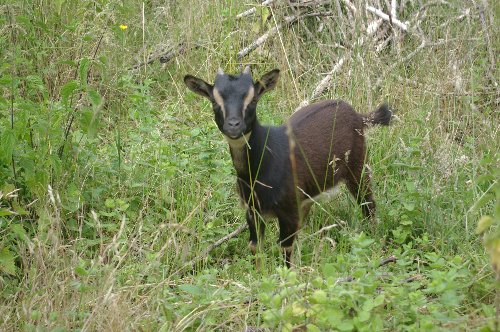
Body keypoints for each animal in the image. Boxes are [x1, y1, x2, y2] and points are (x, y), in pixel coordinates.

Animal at [184, 65, 390, 268]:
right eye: (214, 101)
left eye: (253, 99)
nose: (234, 125)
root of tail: (358, 115)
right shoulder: (253, 211)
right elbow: (255, 247)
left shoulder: (288, 212)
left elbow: (285, 250)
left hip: (358, 168)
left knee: (368, 205)